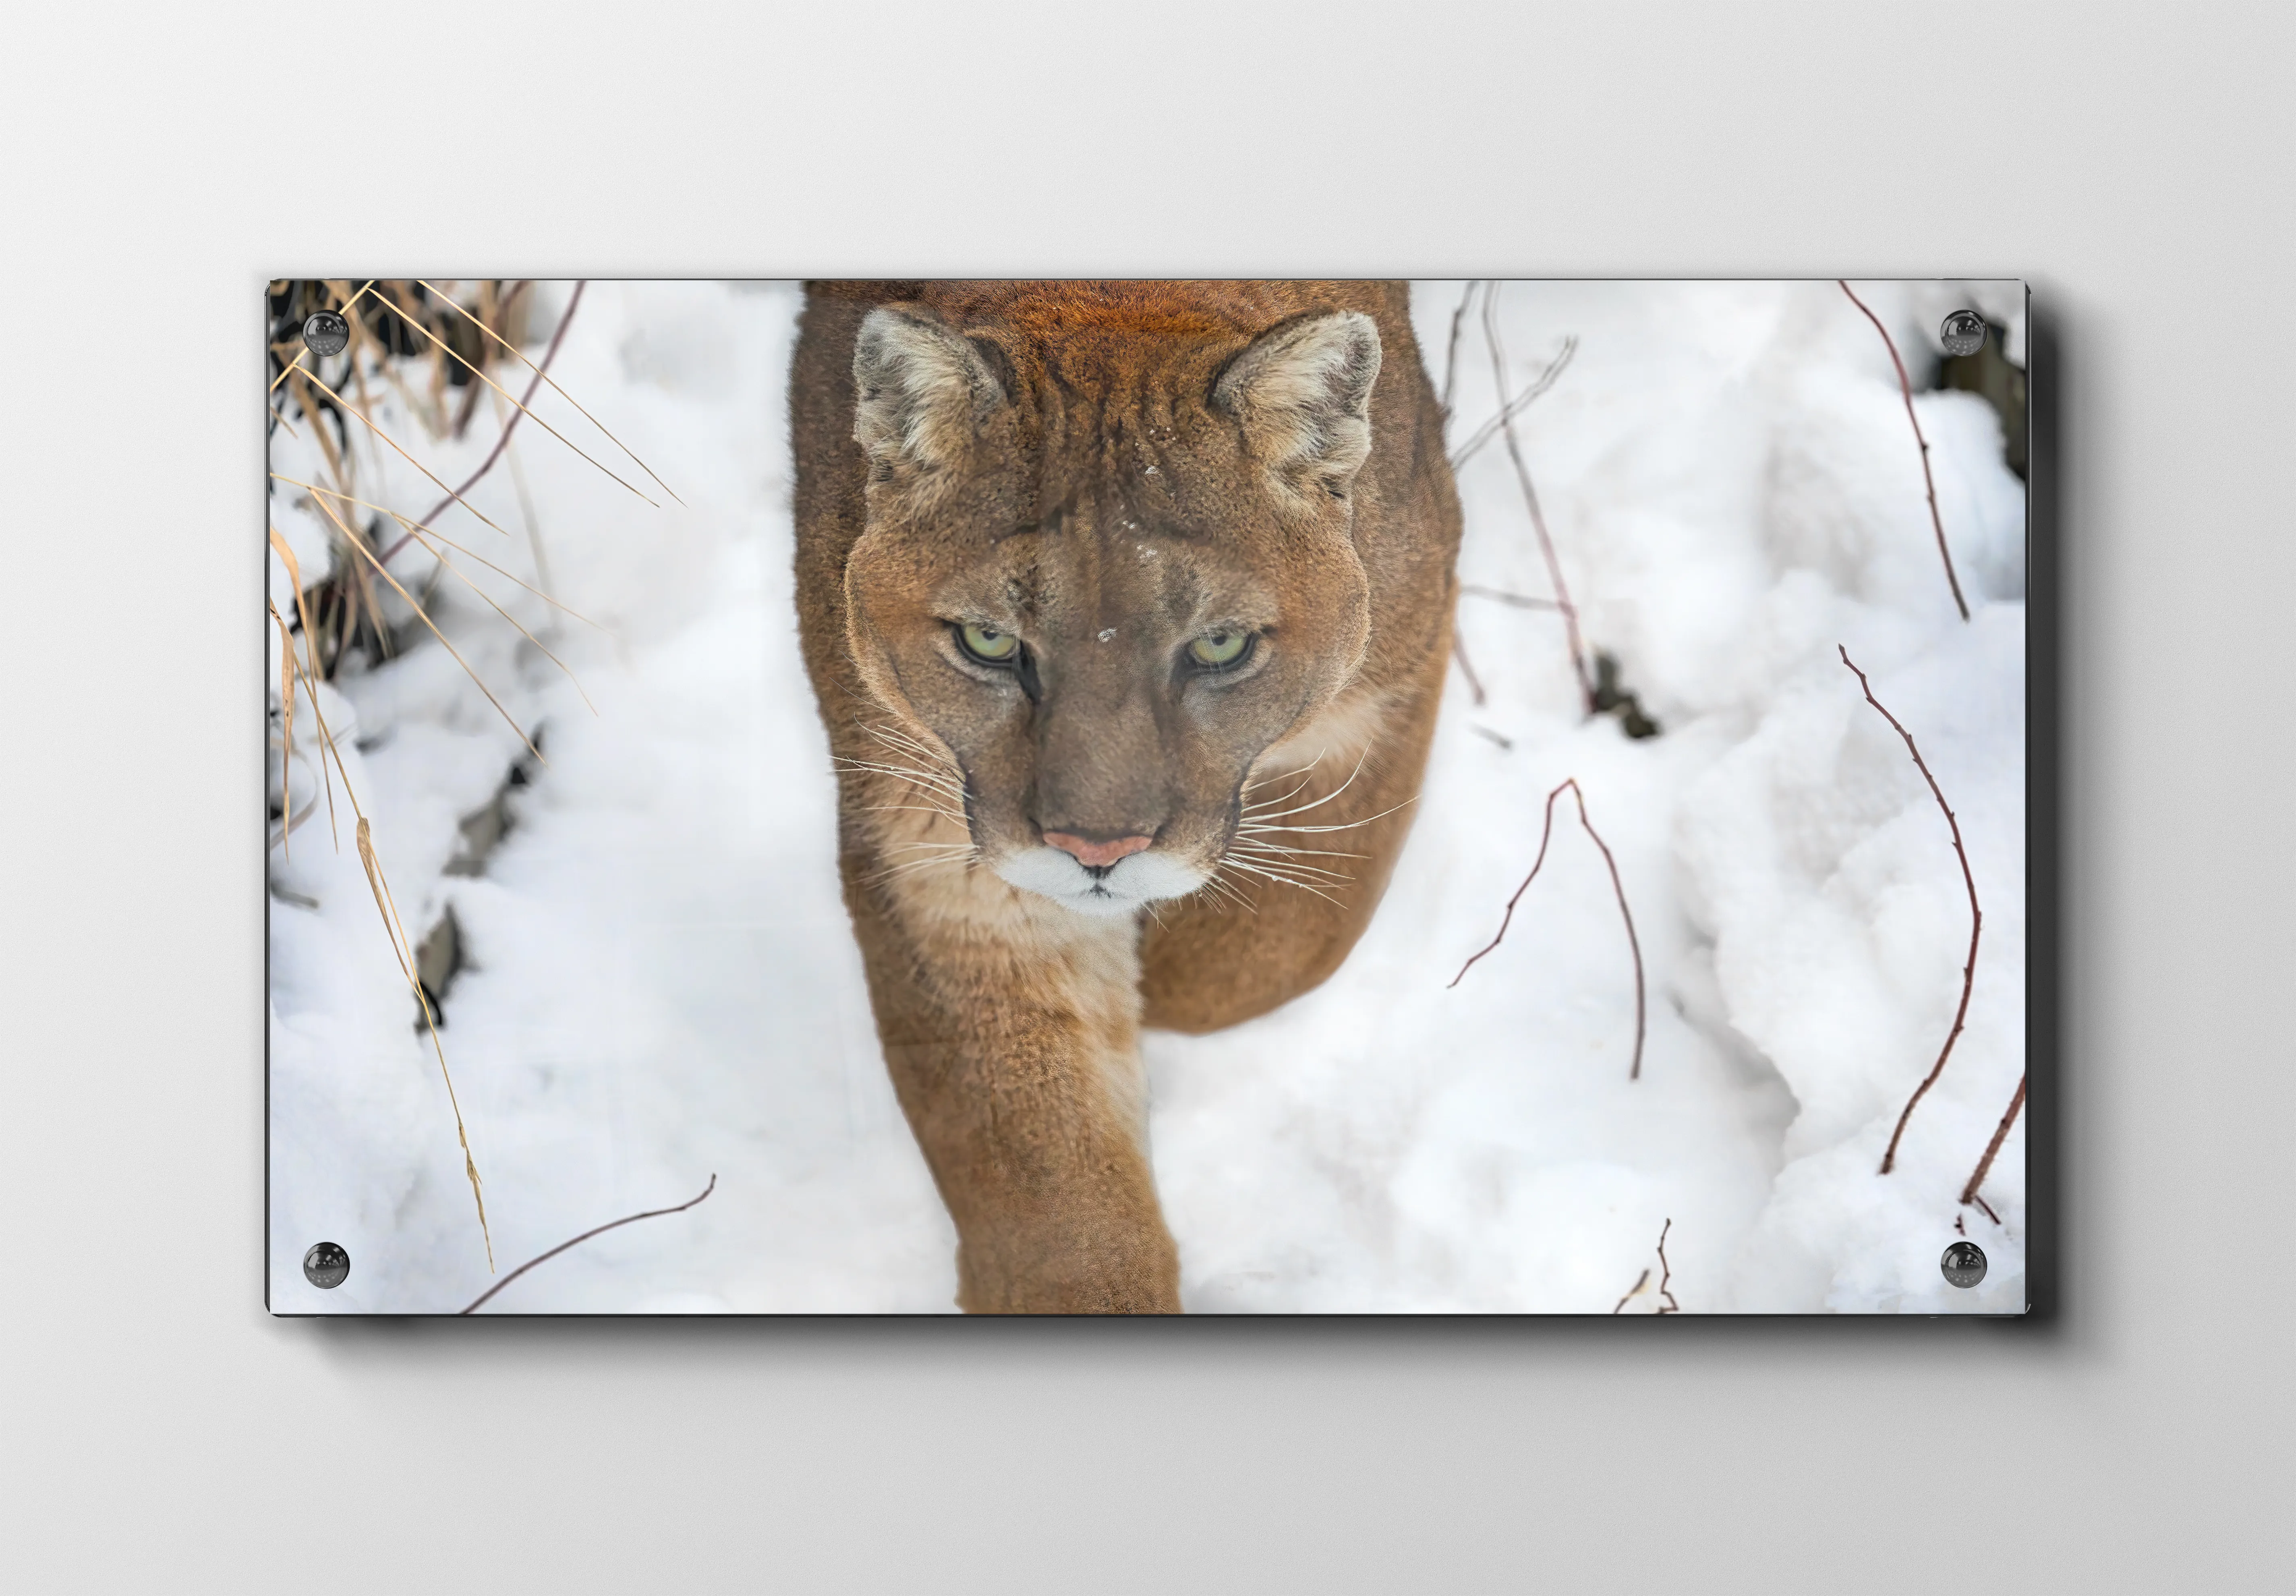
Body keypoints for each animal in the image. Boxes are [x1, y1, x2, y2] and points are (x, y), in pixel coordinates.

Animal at [790, 281, 1462, 1312]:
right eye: (989, 643)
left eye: (1220, 647)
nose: (1096, 852)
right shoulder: (949, 861)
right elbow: (1056, 1199)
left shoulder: (1386, 689)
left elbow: (1269, 952)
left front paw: (1164, 976)